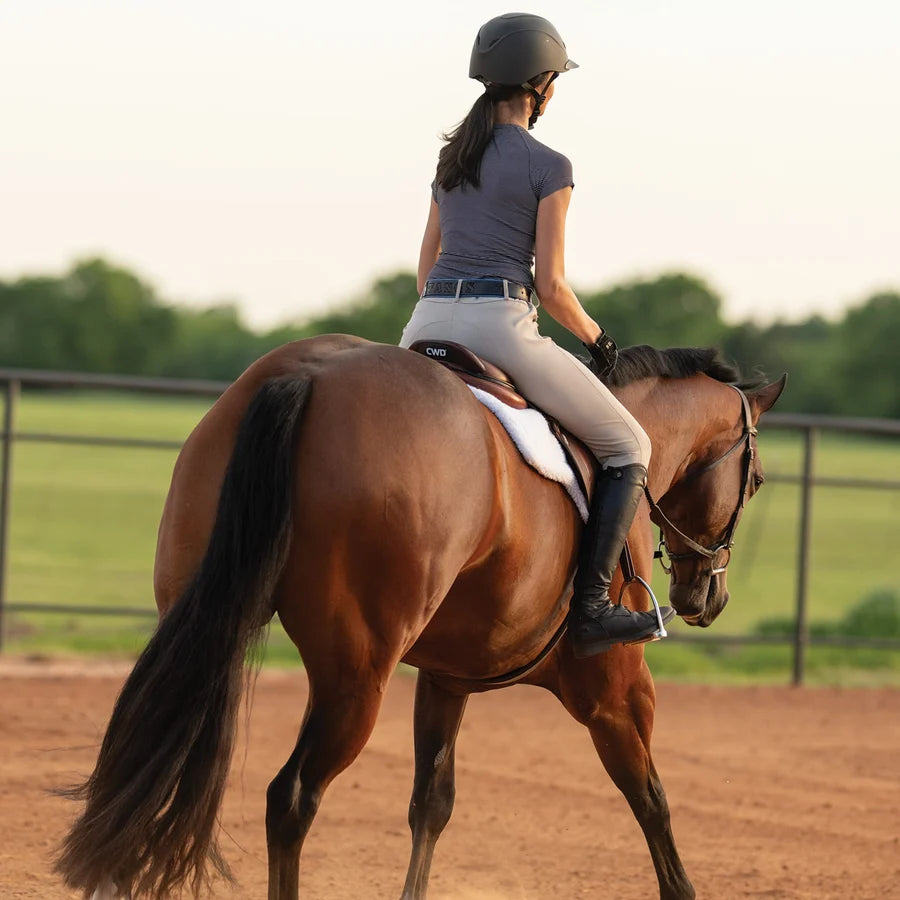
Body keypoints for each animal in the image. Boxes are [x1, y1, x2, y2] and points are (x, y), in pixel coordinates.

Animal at [56, 334, 785, 900]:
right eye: (755, 482)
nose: (706, 597)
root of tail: (308, 373)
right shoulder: (617, 689)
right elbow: (652, 800)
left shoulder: (444, 680)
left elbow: (431, 803)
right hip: (355, 678)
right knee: (290, 799)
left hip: (206, 629)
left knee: (146, 767)